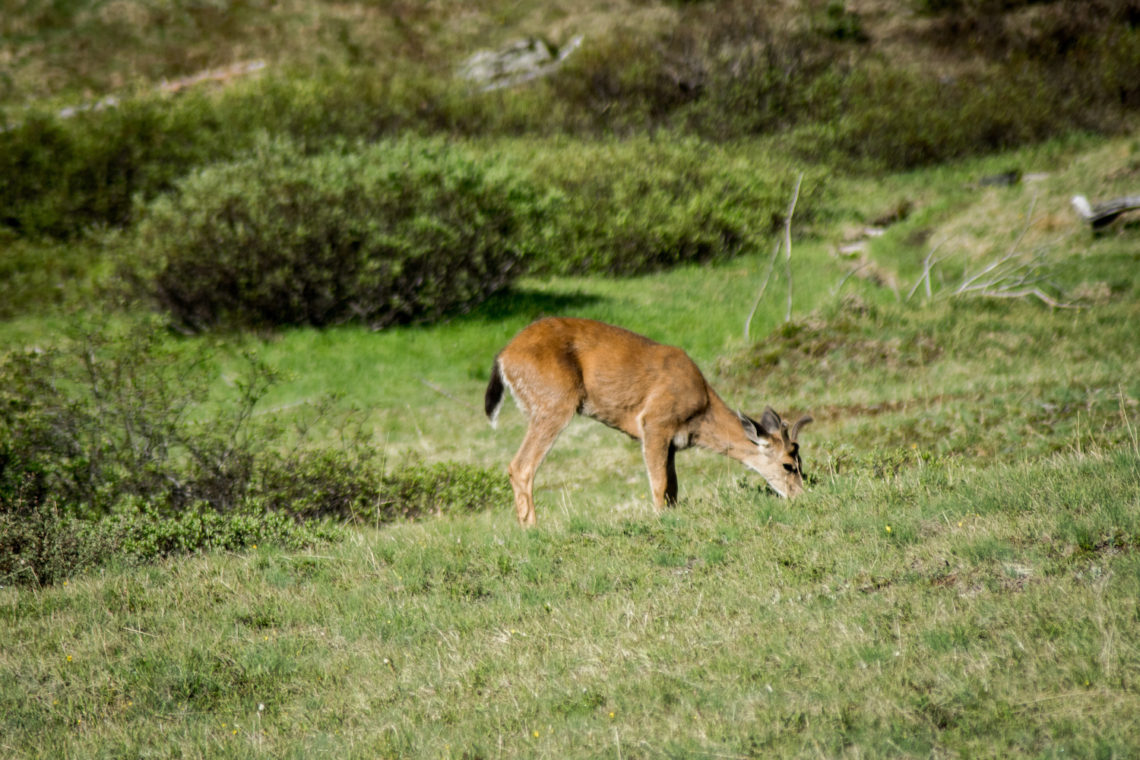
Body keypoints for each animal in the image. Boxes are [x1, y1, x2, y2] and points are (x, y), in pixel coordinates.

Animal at [481, 319, 811, 526]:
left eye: (800, 463)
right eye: (788, 465)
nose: (801, 496)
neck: (701, 411)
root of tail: (503, 357)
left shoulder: (673, 443)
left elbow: (673, 487)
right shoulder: (654, 422)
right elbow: (659, 484)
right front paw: (660, 519)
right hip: (554, 402)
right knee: (521, 466)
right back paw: (532, 528)